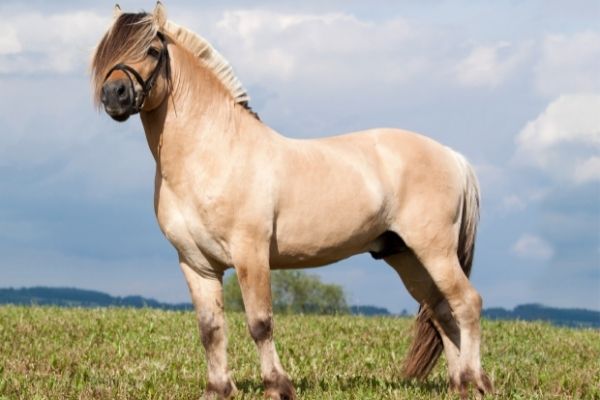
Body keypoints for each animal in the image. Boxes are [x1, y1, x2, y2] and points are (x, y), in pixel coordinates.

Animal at [89, 3, 492, 400]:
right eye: (105, 51)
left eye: (152, 50)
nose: (114, 95)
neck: (213, 153)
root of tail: (452, 156)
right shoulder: (197, 264)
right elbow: (210, 328)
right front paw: (217, 389)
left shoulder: (250, 254)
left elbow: (260, 323)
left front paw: (277, 386)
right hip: (406, 256)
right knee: (441, 311)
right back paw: (459, 383)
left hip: (434, 250)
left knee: (466, 303)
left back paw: (475, 380)